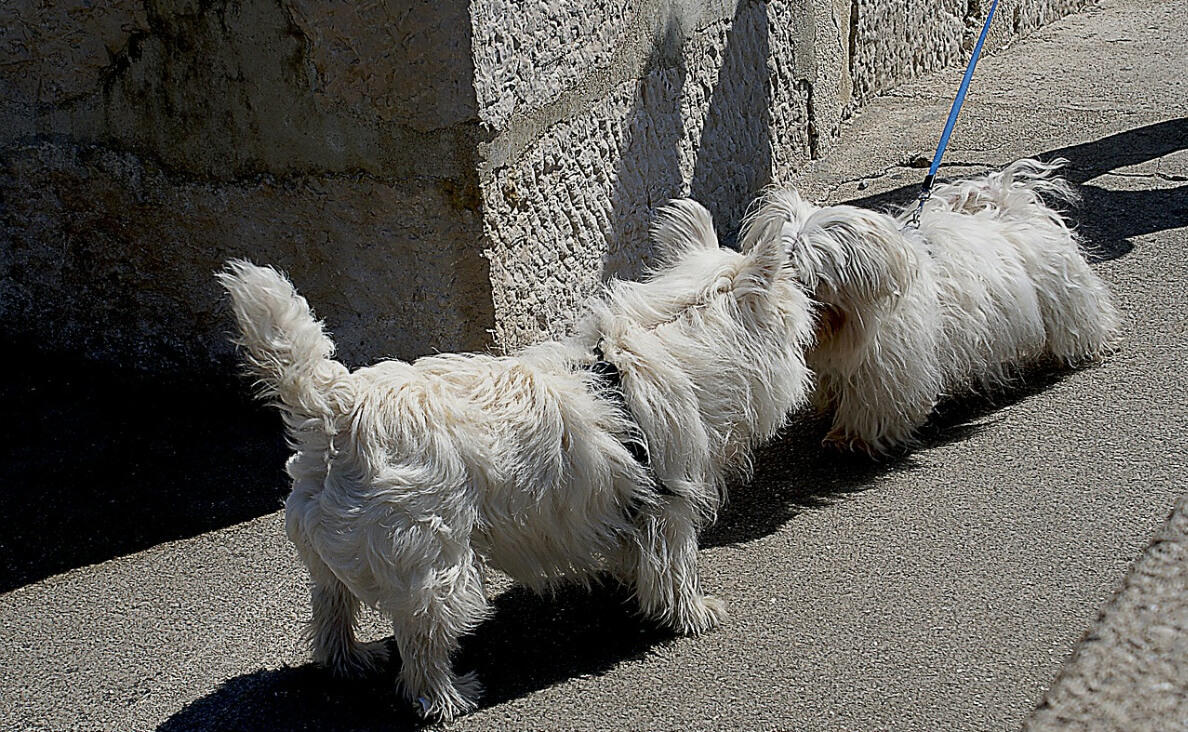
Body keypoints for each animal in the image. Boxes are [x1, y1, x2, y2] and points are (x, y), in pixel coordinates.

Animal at [216, 199, 817, 722]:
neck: (660, 343)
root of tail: (333, 407)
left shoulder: (630, 504)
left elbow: (637, 555)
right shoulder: (670, 504)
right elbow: (677, 567)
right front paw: (693, 615)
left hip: (329, 552)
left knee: (332, 611)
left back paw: (353, 662)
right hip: (435, 561)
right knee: (421, 642)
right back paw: (450, 697)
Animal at [741, 159, 1121, 453]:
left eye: (806, 275)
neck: (846, 320)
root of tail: (1010, 204)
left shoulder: (888, 368)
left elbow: (874, 404)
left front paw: (852, 438)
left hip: (1064, 297)